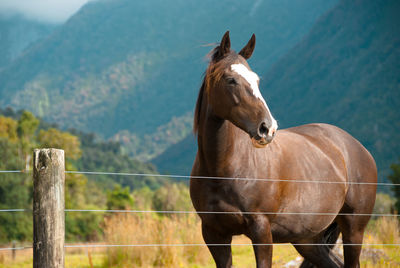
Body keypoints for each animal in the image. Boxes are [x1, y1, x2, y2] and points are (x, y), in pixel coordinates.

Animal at [191, 30, 378, 266]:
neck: (223, 169)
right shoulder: (214, 234)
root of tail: (359, 149)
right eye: (231, 79)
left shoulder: (261, 232)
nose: (267, 128)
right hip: (308, 241)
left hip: (353, 230)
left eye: (257, 80)